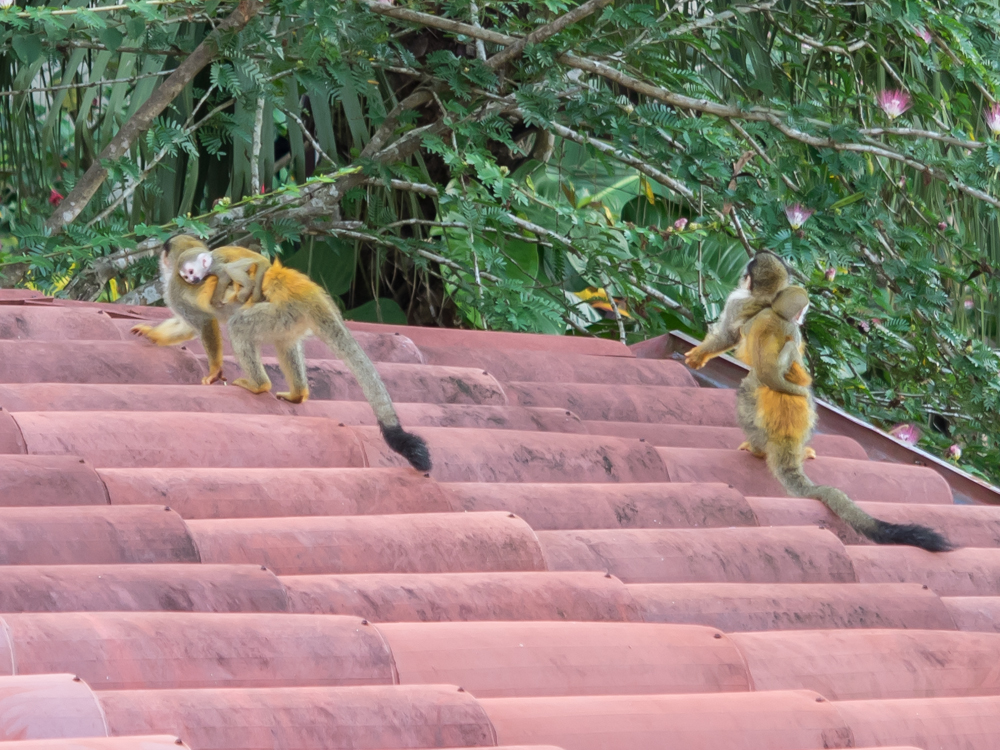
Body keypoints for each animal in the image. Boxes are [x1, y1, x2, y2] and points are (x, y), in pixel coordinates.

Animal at [132, 235, 432, 473]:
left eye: (189, 272)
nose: (192, 278)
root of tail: (305, 290)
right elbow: (186, 326)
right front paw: (151, 334)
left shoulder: (177, 291)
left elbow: (203, 324)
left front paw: (214, 371)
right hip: (290, 318)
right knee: (284, 343)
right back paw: (297, 394)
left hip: (278, 311)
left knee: (238, 326)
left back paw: (258, 385)